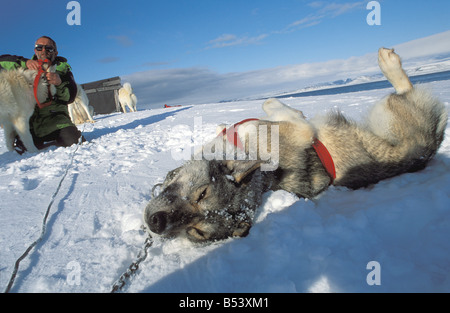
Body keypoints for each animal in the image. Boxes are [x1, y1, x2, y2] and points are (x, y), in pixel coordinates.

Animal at [144, 48, 446, 241]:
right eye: (194, 232)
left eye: (202, 194)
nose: (156, 224)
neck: (259, 166)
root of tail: (431, 145)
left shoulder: (298, 129)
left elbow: (268, 109)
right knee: (404, 92)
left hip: (389, 113)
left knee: (405, 90)